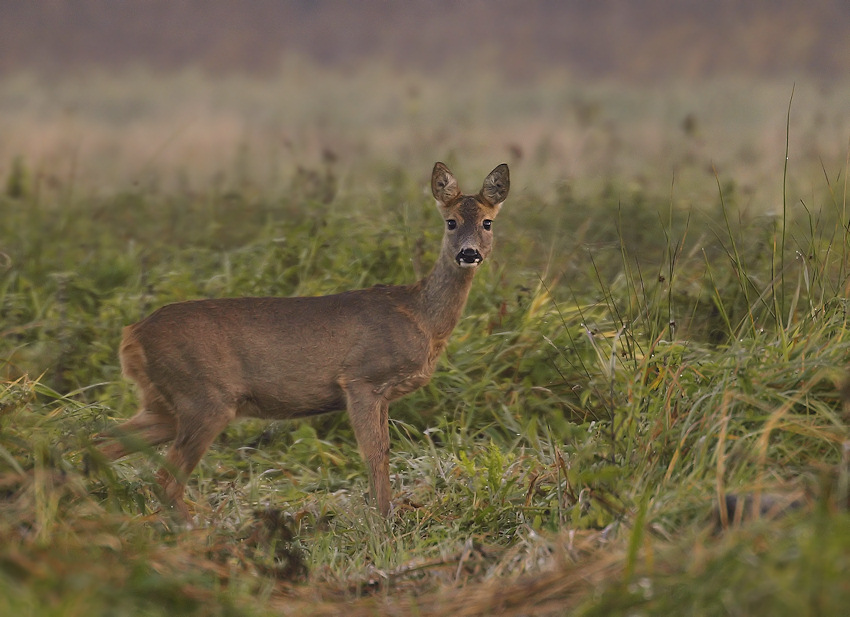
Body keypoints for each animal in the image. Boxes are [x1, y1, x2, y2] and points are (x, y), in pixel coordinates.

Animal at [99, 161, 510, 516]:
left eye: (487, 222)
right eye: (451, 222)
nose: (469, 253)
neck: (421, 316)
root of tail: (132, 335)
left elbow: (382, 453)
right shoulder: (361, 380)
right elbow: (376, 455)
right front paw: (383, 523)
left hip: (164, 404)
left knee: (97, 443)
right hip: (204, 398)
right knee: (163, 481)